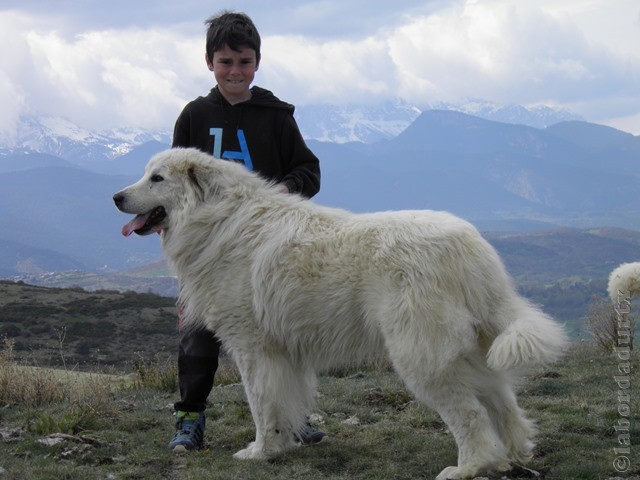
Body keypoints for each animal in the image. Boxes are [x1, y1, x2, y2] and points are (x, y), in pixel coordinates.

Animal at [114, 148, 564, 478]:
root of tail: (470, 246)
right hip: (474, 348)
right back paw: (513, 455)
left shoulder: (253, 348)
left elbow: (261, 404)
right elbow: (285, 403)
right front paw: (283, 444)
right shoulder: (284, 352)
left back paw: (470, 467)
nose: (116, 197)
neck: (218, 220)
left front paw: (261, 451)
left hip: (421, 354)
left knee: (469, 414)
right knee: (502, 402)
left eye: (157, 179)